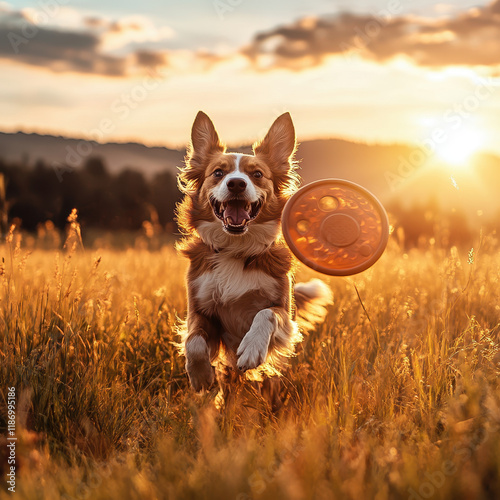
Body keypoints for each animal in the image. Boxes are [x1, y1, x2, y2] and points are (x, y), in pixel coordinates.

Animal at [176, 111, 332, 400]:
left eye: (257, 174)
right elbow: (194, 341)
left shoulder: (284, 313)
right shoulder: (200, 311)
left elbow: (266, 314)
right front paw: (200, 375)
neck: (235, 248)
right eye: (218, 173)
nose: (236, 183)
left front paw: (251, 349)